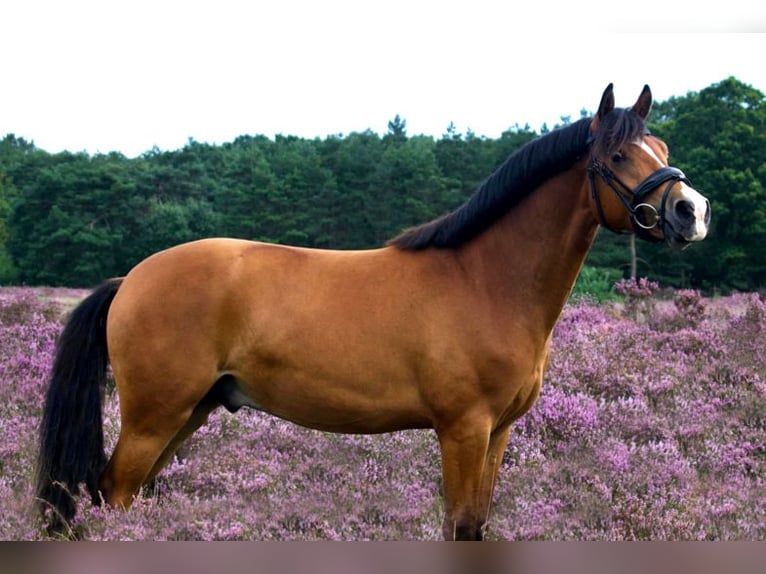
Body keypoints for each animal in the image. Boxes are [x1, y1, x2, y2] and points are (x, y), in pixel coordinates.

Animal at [36, 84, 711, 540]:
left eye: (661, 146)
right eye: (619, 156)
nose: (692, 212)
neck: (483, 280)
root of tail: (131, 279)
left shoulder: (497, 433)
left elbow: (479, 524)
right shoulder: (462, 429)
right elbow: (461, 526)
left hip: (189, 412)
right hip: (155, 417)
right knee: (113, 494)